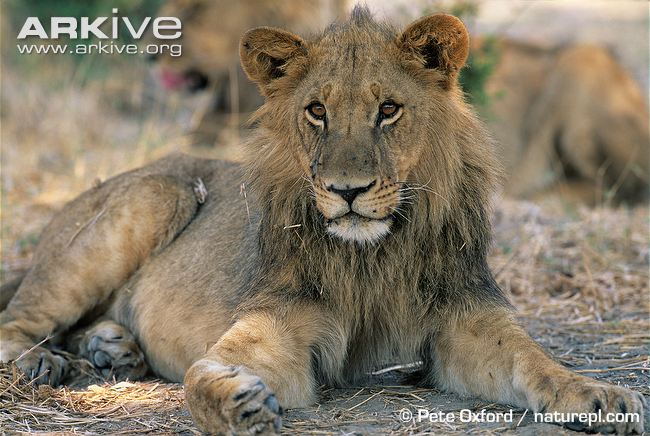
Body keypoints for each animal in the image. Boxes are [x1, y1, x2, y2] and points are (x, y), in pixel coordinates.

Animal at [1, 8, 645, 435]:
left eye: (388, 110)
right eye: (316, 111)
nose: (347, 191)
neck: (375, 255)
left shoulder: (469, 319)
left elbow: (535, 362)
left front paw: (602, 399)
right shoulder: (276, 328)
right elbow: (202, 374)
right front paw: (236, 404)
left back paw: (113, 349)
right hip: (161, 192)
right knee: (19, 319)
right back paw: (45, 361)